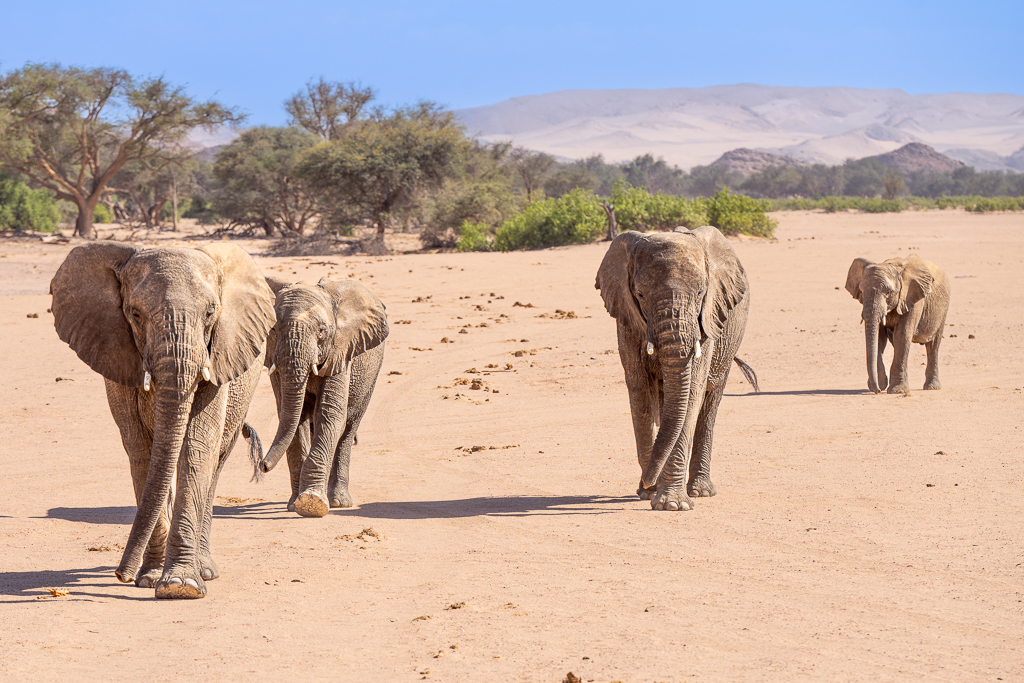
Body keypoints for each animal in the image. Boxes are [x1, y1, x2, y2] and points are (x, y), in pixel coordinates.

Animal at [50, 241, 275, 599]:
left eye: (210, 313)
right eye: (135, 315)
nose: (120, 575)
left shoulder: (217, 358)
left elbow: (197, 446)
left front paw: (181, 587)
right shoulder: (117, 356)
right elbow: (141, 451)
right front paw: (153, 578)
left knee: (215, 462)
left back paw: (205, 570)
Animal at [256, 277, 388, 518]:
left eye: (321, 331)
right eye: (274, 329)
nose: (263, 465)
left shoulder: (342, 351)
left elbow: (330, 415)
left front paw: (312, 502)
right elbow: (292, 418)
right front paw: (296, 504)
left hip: (371, 374)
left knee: (348, 428)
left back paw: (338, 501)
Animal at [596, 227, 758, 512]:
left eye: (701, 293)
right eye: (640, 295)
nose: (646, 484)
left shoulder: (707, 320)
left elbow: (692, 393)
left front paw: (672, 504)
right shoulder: (626, 322)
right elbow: (640, 392)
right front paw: (649, 493)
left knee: (710, 402)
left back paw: (701, 491)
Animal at [845, 254, 950, 394]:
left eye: (889, 292)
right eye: (861, 291)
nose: (877, 391)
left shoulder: (912, 297)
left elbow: (903, 335)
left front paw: (897, 391)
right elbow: (879, 338)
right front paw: (881, 385)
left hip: (942, 309)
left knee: (933, 346)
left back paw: (932, 387)